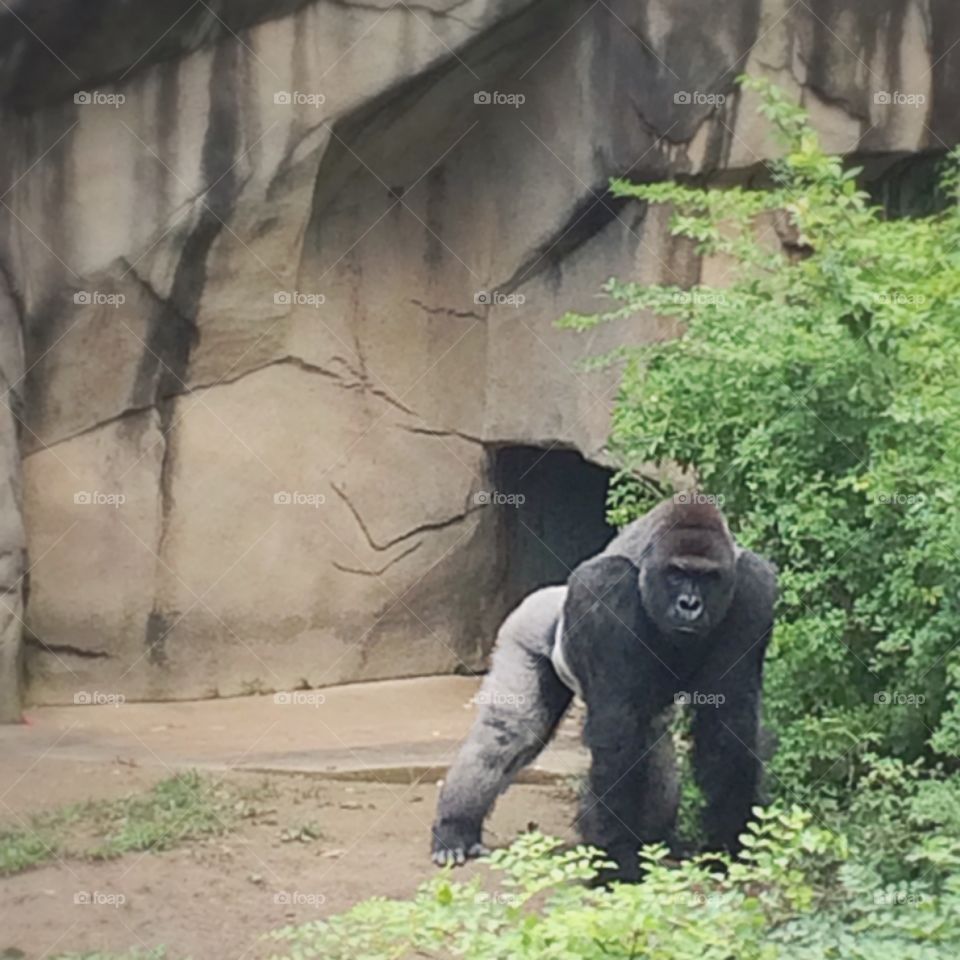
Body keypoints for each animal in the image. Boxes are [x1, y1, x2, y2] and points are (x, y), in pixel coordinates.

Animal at [431, 496, 776, 881]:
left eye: (708, 577)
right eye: (677, 573)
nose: (689, 605)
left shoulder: (753, 590)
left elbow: (728, 722)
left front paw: (728, 843)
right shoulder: (605, 589)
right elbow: (616, 730)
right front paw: (617, 861)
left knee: (653, 741)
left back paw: (660, 838)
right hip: (527, 623)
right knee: (511, 733)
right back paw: (456, 827)